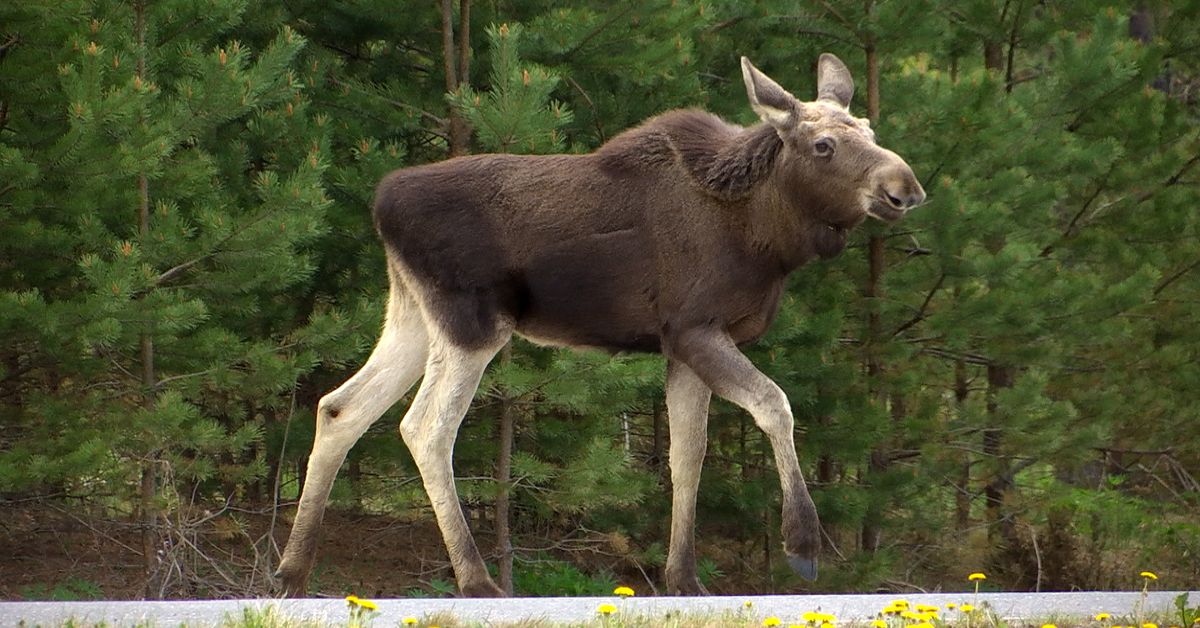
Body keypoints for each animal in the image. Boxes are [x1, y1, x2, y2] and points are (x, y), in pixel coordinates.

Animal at [276, 52, 925, 598]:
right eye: (822, 145)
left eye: (870, 132)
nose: (906, 189)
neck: (766, 236)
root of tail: (379, 204)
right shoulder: (694, 328)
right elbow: (775, 405)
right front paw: (803, 543)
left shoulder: (680, 346)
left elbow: (687, 454)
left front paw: (683, 579)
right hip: (473, 321)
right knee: (426, 428)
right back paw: (476, 579)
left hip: (413, 318)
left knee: (341, 407)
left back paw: (292, 571)